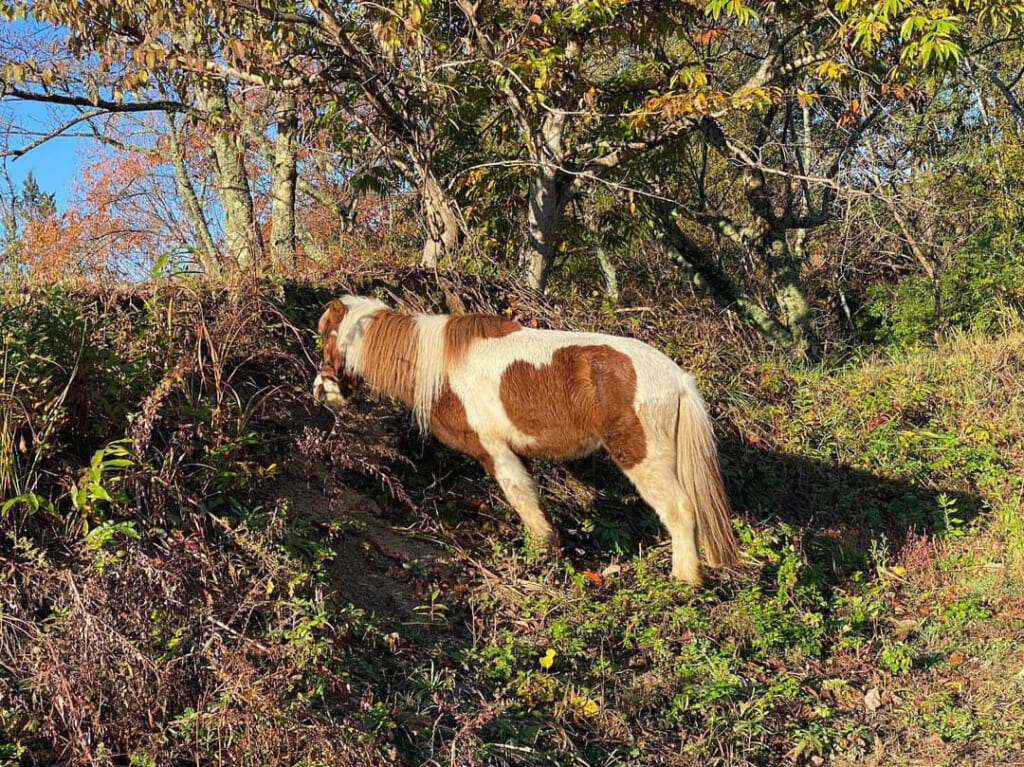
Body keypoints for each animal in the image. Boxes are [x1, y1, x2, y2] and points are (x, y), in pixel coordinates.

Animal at [311, 292, 737, 581]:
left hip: (641, 455)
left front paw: (541, 553)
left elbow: (521, 500)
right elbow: (532, 496)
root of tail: (677, 378)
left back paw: (685, 579)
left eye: (327, 336)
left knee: (679, 510)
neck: (440, 365)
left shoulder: (494, 451)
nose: (321, 391)